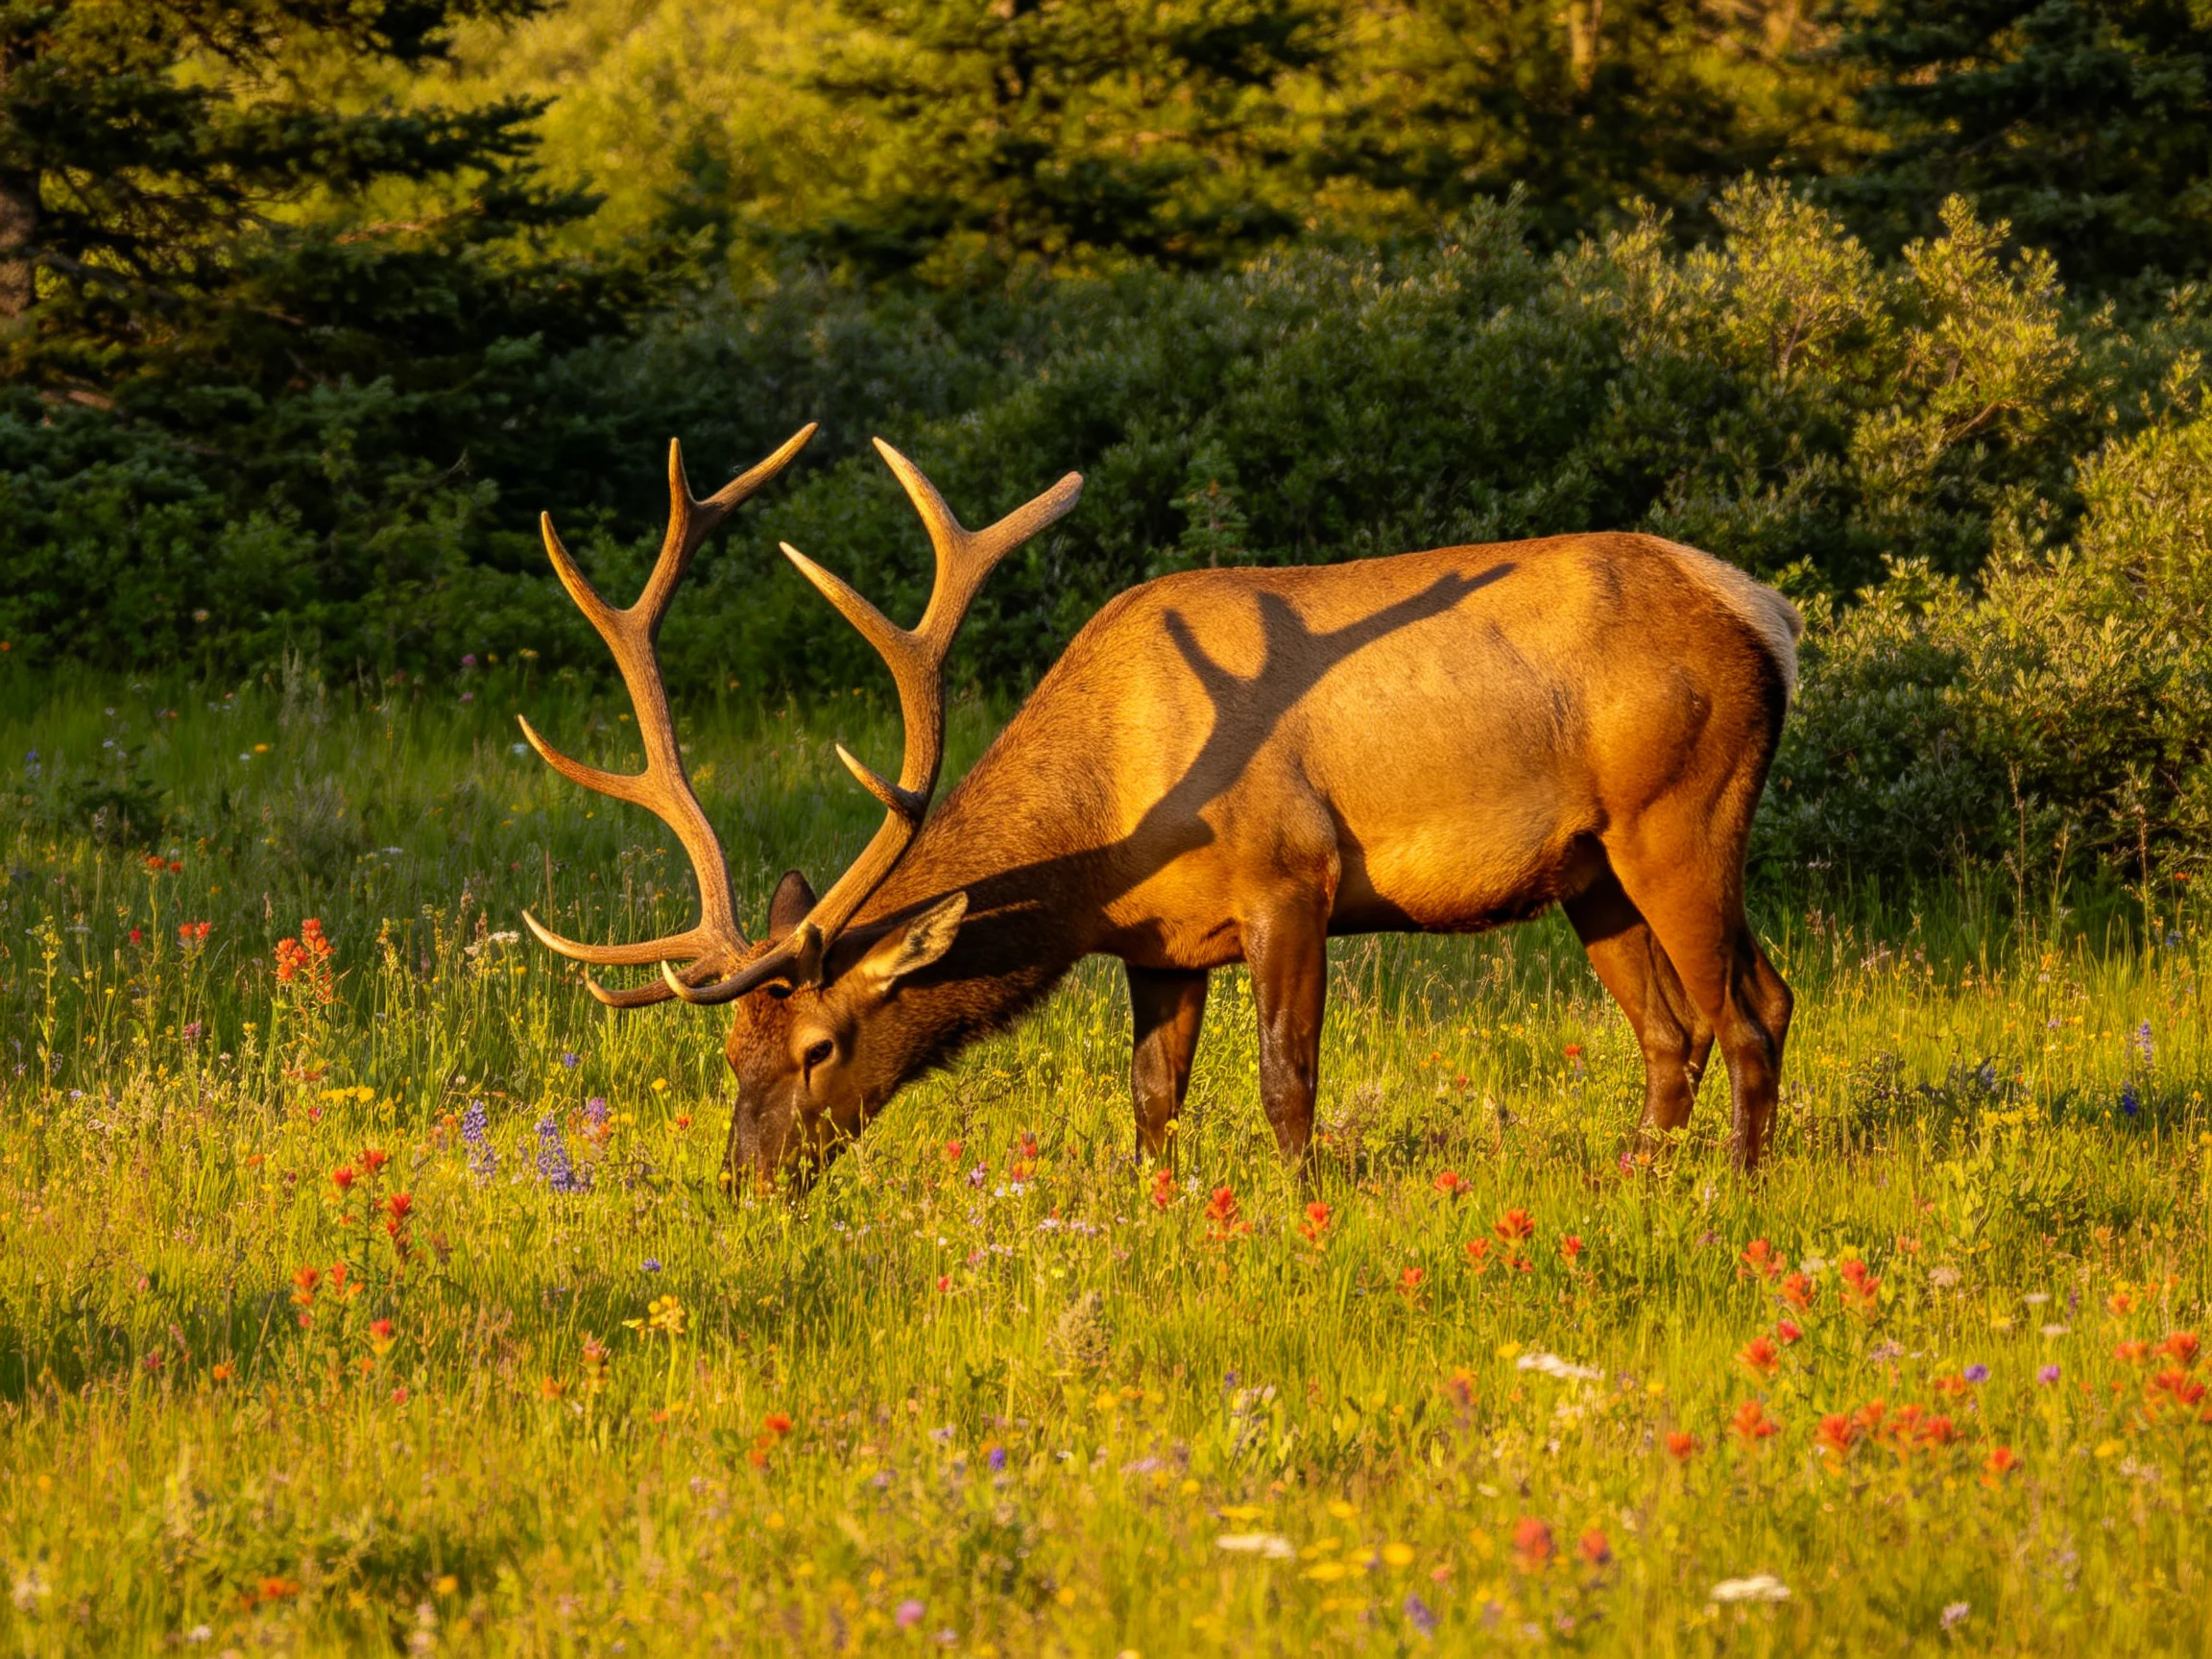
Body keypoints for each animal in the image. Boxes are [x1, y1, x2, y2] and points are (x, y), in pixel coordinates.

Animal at [519, 426, 1799, 1192]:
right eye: (732, 1050)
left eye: (819, 1045)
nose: (745, 1182)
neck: (1108, 835)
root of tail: (1767, 615)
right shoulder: (1161, 945)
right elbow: (1151, 1098)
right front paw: (1157, 1214)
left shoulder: (1292, 881)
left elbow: (1288, 1080)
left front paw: (1299, 1212)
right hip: (1590, 871)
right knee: (1672, 1031)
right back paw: (1638, 1178)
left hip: (1684, 813)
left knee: (1750, 1006)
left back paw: (1735, 1193)